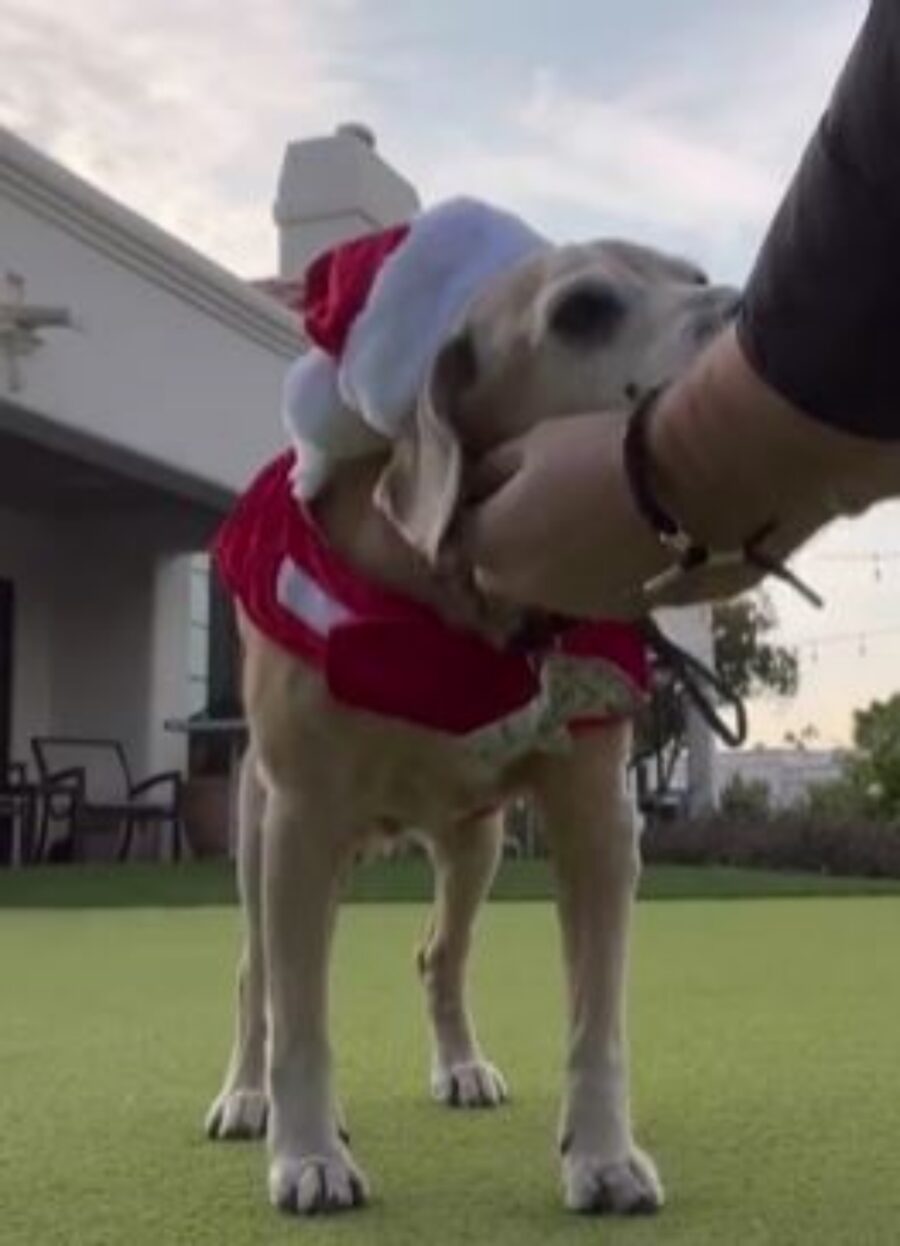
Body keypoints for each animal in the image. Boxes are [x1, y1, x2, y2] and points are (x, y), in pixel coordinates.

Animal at [205, 235, 737, 1216]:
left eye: (693, 276)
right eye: (581, 311)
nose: (747, 310)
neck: (466, 609)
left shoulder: (599, 827)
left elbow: (595, 1025)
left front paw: (602, 1152)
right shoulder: (302, 819)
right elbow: (302, 1023)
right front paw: (309, 1152)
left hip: (475, 844)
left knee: (439, 955)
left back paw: (459, 1064)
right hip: (263, 837)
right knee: (261, 975)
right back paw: (249, 1096)